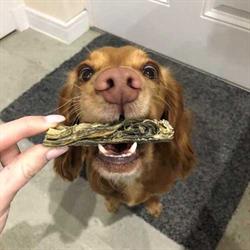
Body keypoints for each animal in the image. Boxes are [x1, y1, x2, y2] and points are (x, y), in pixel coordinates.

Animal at [54, 46, 195, 217]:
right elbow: (111, 197)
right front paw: (112, 205)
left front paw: (154, 206)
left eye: (150, 71)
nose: (119, 82)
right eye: (85, 72)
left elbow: (153, 196)